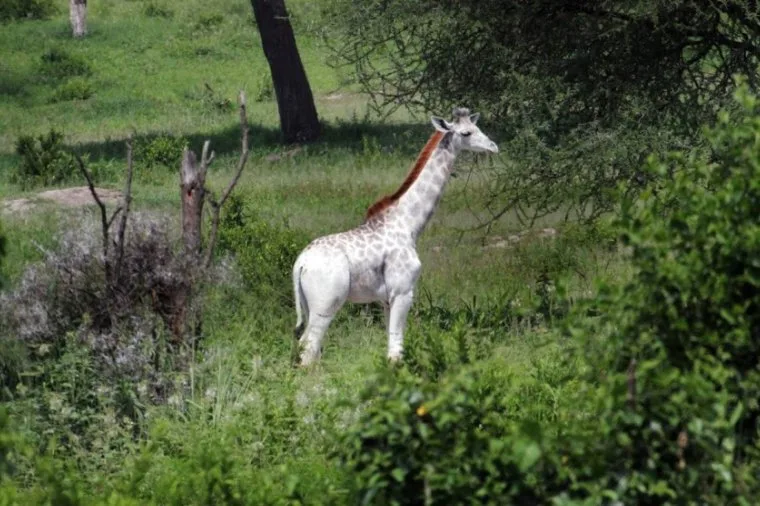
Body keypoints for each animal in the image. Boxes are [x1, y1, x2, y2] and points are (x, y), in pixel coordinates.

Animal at [291, 107, 499, 366]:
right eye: (466, 132)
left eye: (477, 126)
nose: (493, 146)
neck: (408, 224)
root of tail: (300, 264)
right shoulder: (403, 290)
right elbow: (397, 347)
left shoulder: (386, 298)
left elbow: (391, 343)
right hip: (326, 303)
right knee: (309, 345)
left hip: (308, 305)